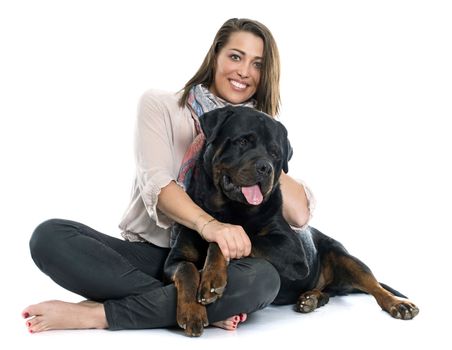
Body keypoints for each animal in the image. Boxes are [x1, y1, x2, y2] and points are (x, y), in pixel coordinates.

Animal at [163, 106, 420, 336]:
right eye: (242, 142)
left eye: (275, 153)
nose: (265, 167)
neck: (228, 209)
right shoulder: (174, 260)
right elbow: (186, 268)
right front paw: (191, 313)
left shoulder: (292, 252)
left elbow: (228, 240)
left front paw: (212, 278)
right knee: (326, 292)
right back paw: (311, 298)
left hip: (344, 256)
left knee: (373, 284)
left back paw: (398, 304)